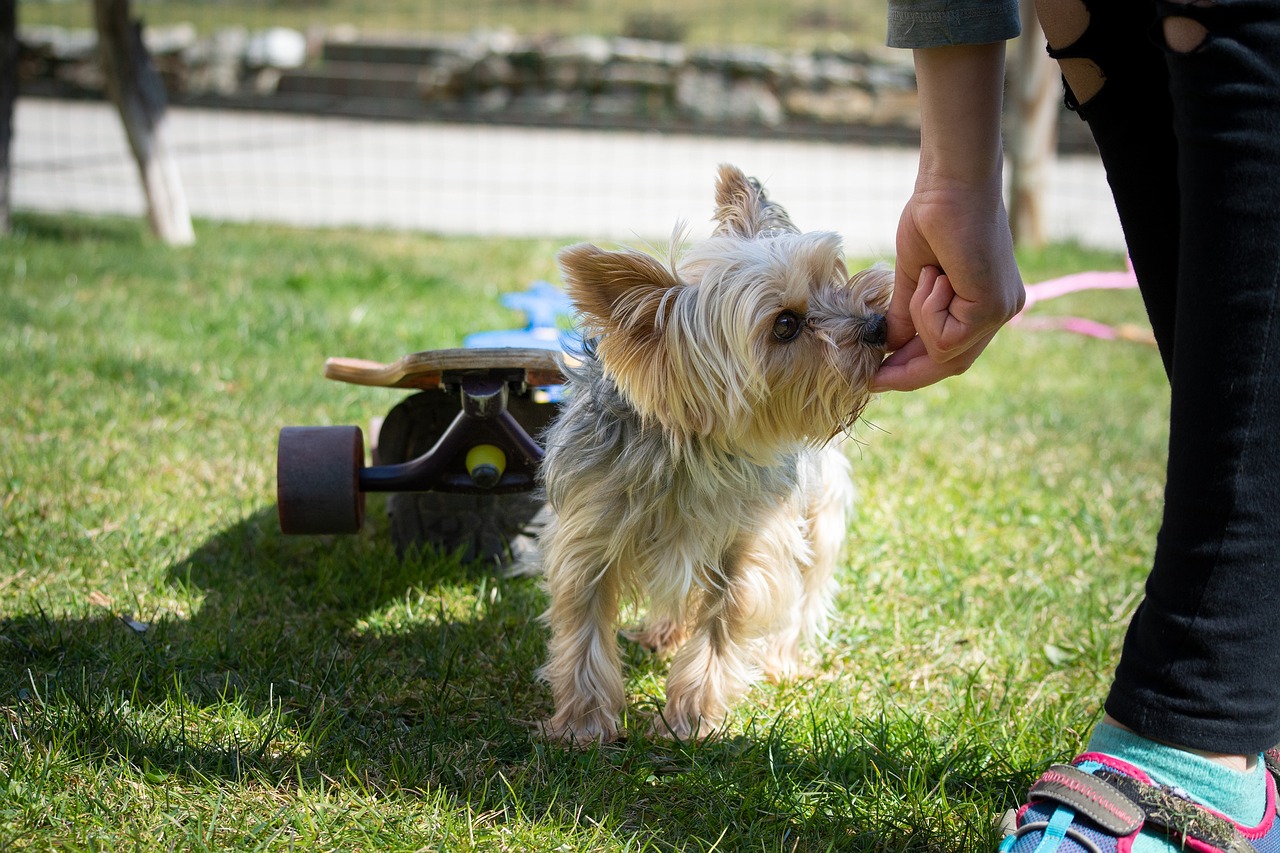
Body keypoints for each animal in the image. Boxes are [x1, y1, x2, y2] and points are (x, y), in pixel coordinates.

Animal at [535, 162, 885, 742]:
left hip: (821, 510)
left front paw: (690, 717)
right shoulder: (589, 535)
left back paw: (781, 660)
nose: (880, 325)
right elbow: (583, 626)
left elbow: (726, 620)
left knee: (806, 587)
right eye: (785, 325)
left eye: (831, 279)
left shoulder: (750, 544)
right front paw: (583, 723)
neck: (691, 449)